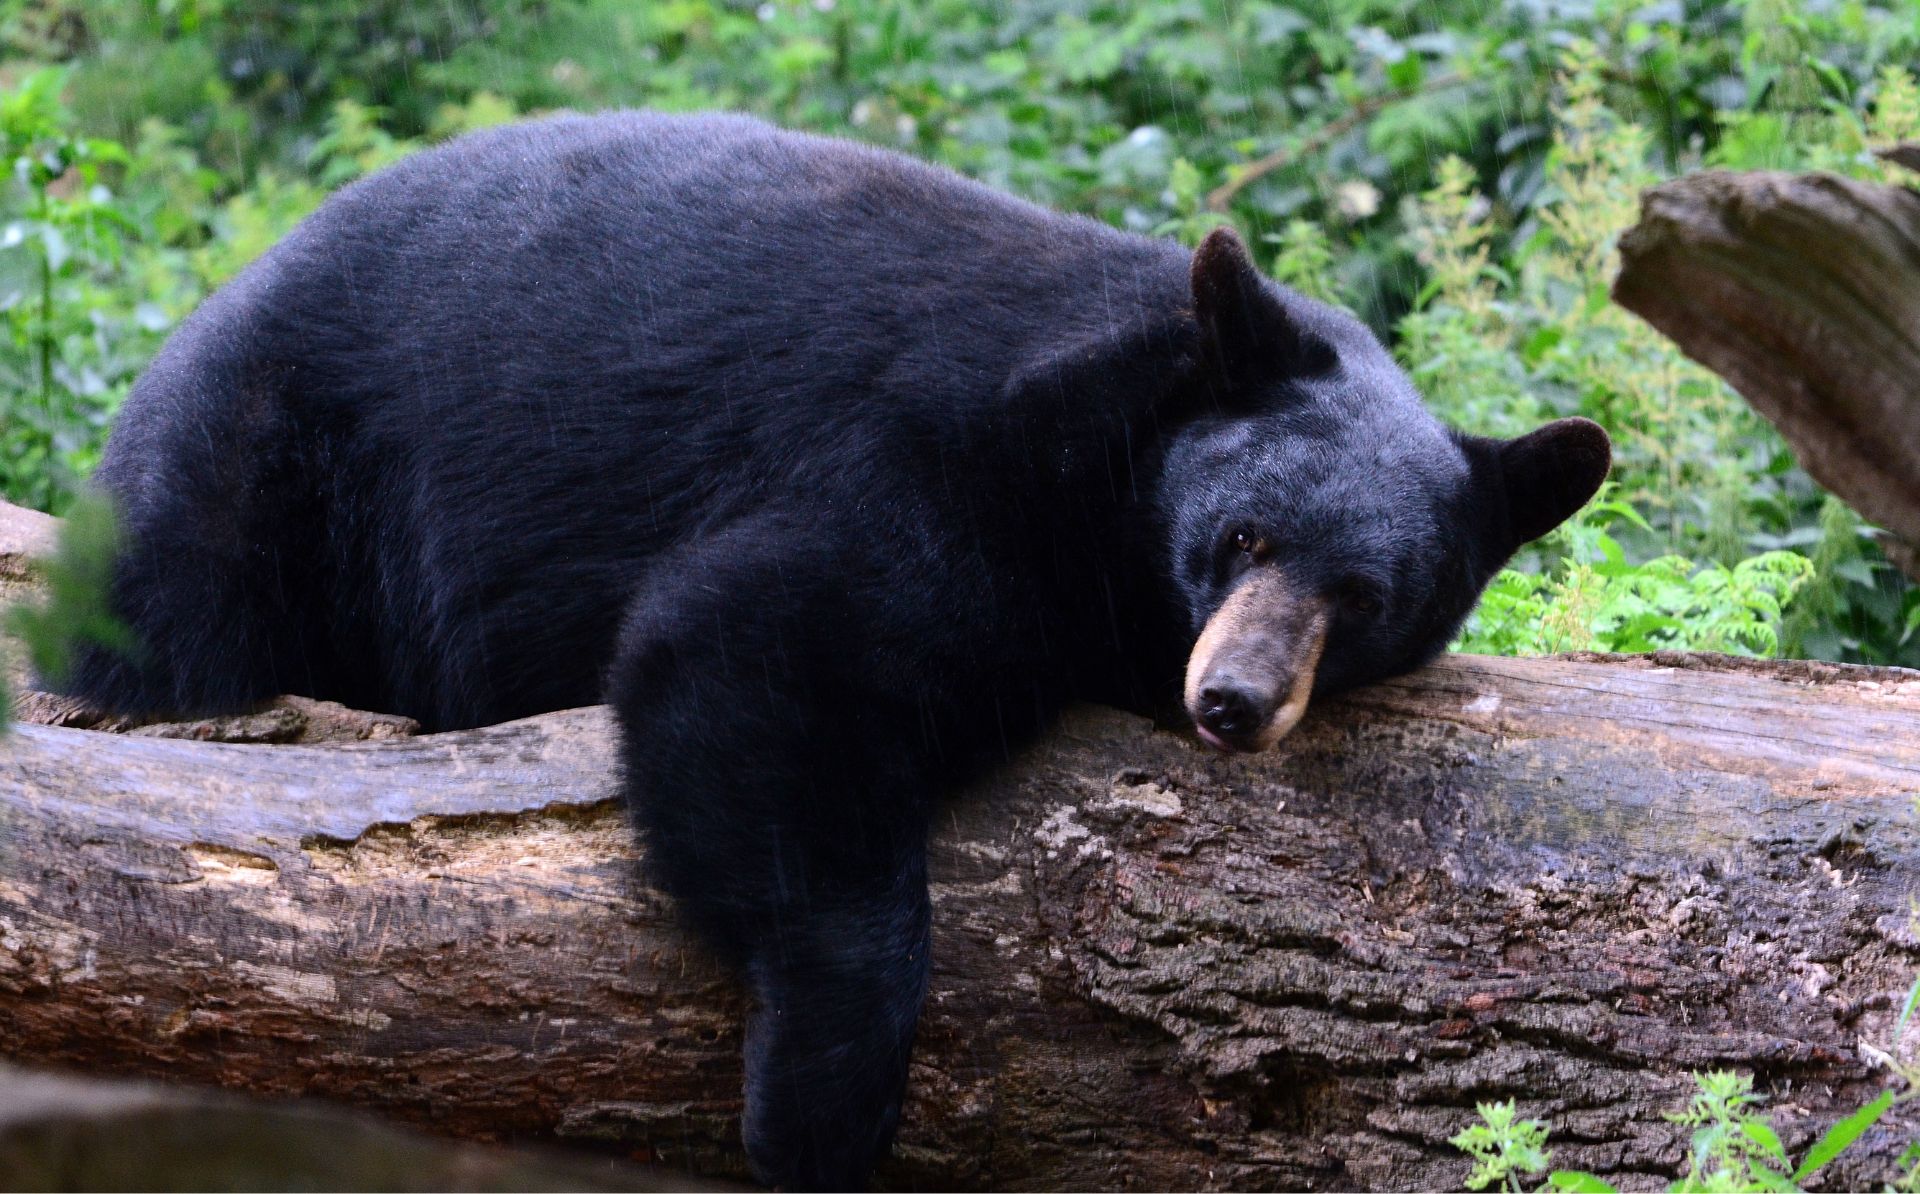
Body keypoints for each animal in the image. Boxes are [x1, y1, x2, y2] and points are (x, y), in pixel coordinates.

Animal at [64, 111, 1611, 1189]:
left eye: (1365, 594)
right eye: (1243, 536)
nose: (1232, 701)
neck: (1115, 449)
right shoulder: (939, 460)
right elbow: (760, 649)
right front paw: (820, 1105)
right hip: (268, 455)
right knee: (174, 613)